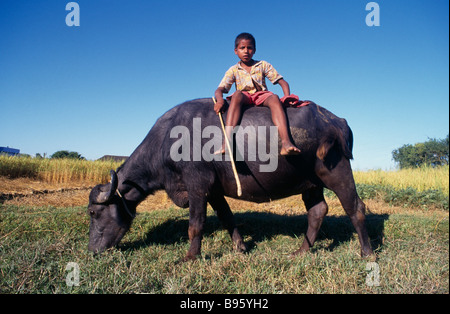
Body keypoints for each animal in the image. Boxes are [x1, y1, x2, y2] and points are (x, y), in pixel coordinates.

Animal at [87, 98, 372, 260]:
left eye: (93, 212)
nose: (92, 250)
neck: (169, 140)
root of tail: (336, 121)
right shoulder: (213, 191)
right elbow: (227, 218)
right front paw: (240, 247)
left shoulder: (197, 185)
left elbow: (196, 224)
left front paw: (190, 256)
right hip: (310, 183)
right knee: (317, 211)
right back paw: (301, 251)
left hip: (337, 171)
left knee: (355, 208)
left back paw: (367, 253)